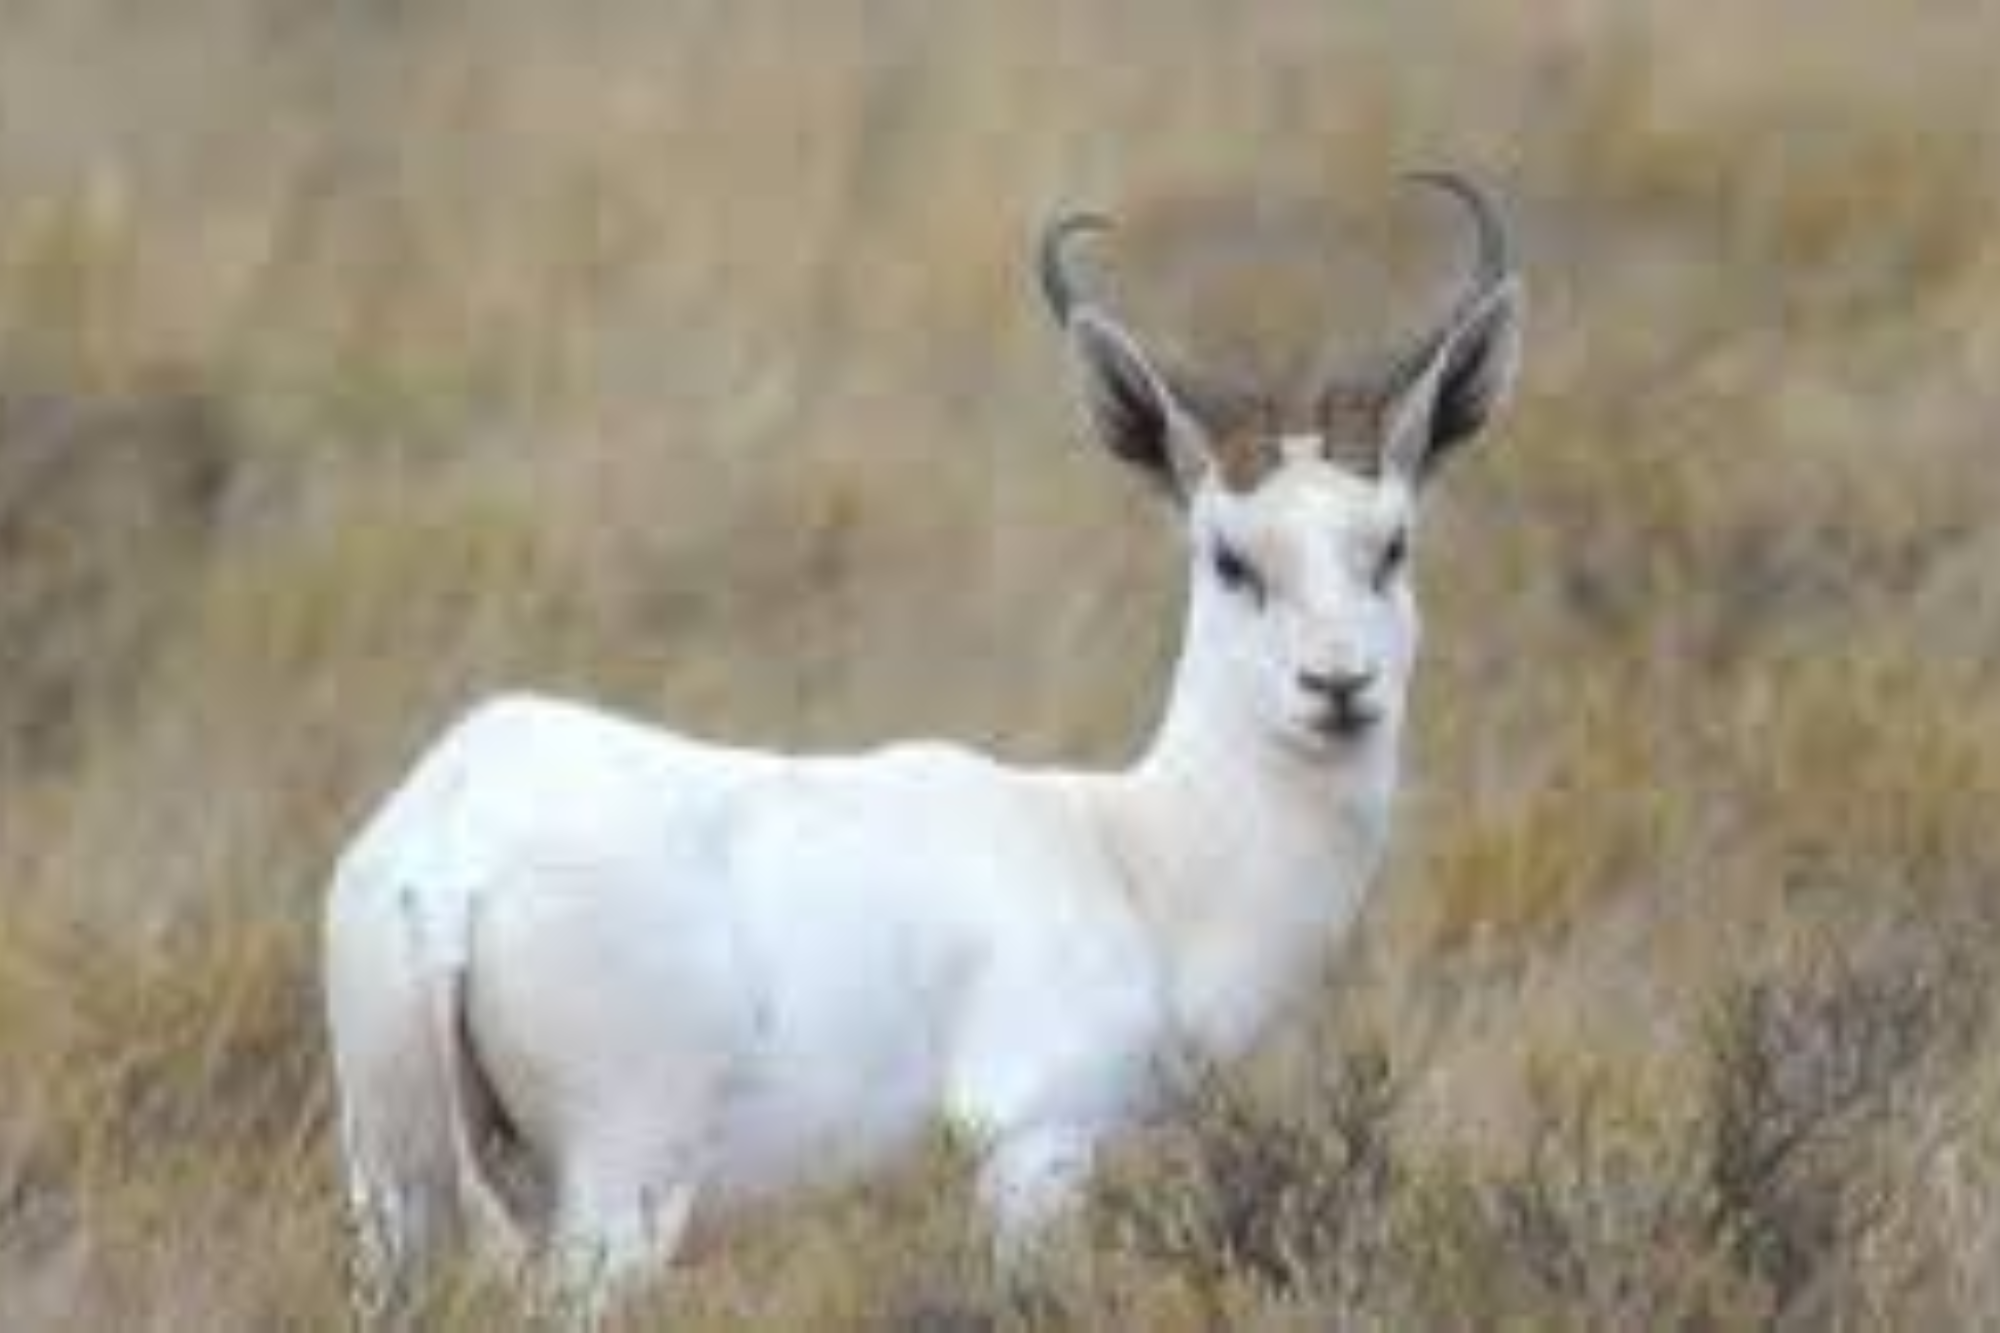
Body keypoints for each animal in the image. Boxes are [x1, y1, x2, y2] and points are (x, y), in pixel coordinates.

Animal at [320, 169, 1520, 1304]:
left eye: (1391, 545)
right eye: (1230, 557)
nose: (1338, 687)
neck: (1131, 856)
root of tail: (452, 860)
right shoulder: (1035, 1150)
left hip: (396, 1196)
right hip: (617, 1199)